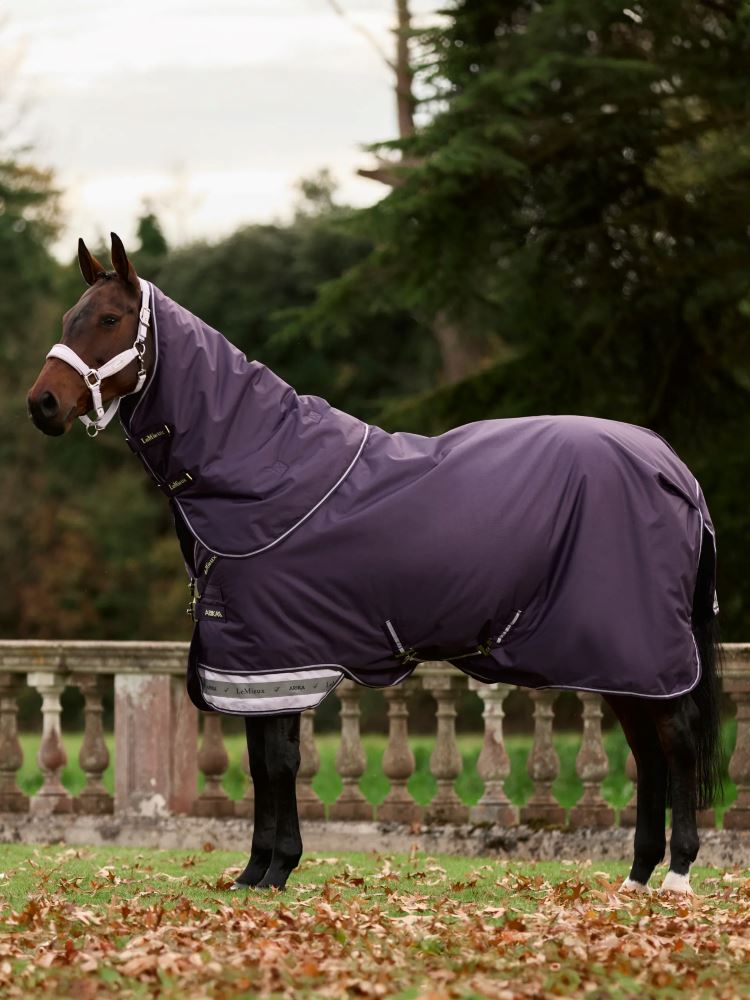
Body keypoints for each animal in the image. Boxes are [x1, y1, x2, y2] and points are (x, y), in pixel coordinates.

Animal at [27, 233, 723, 895]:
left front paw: (277, 869)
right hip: (620, 660)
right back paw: (636, 876)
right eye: (66, 318)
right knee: (648, 751)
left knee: (677, 739)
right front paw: (253, 872)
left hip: (642, 648)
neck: (262, 469)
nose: (43, 405)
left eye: (110, 318)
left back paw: (679, 875)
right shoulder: (254, 664)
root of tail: (671, 465)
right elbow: (258, 761)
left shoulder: (278, 654)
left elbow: (278, 762)